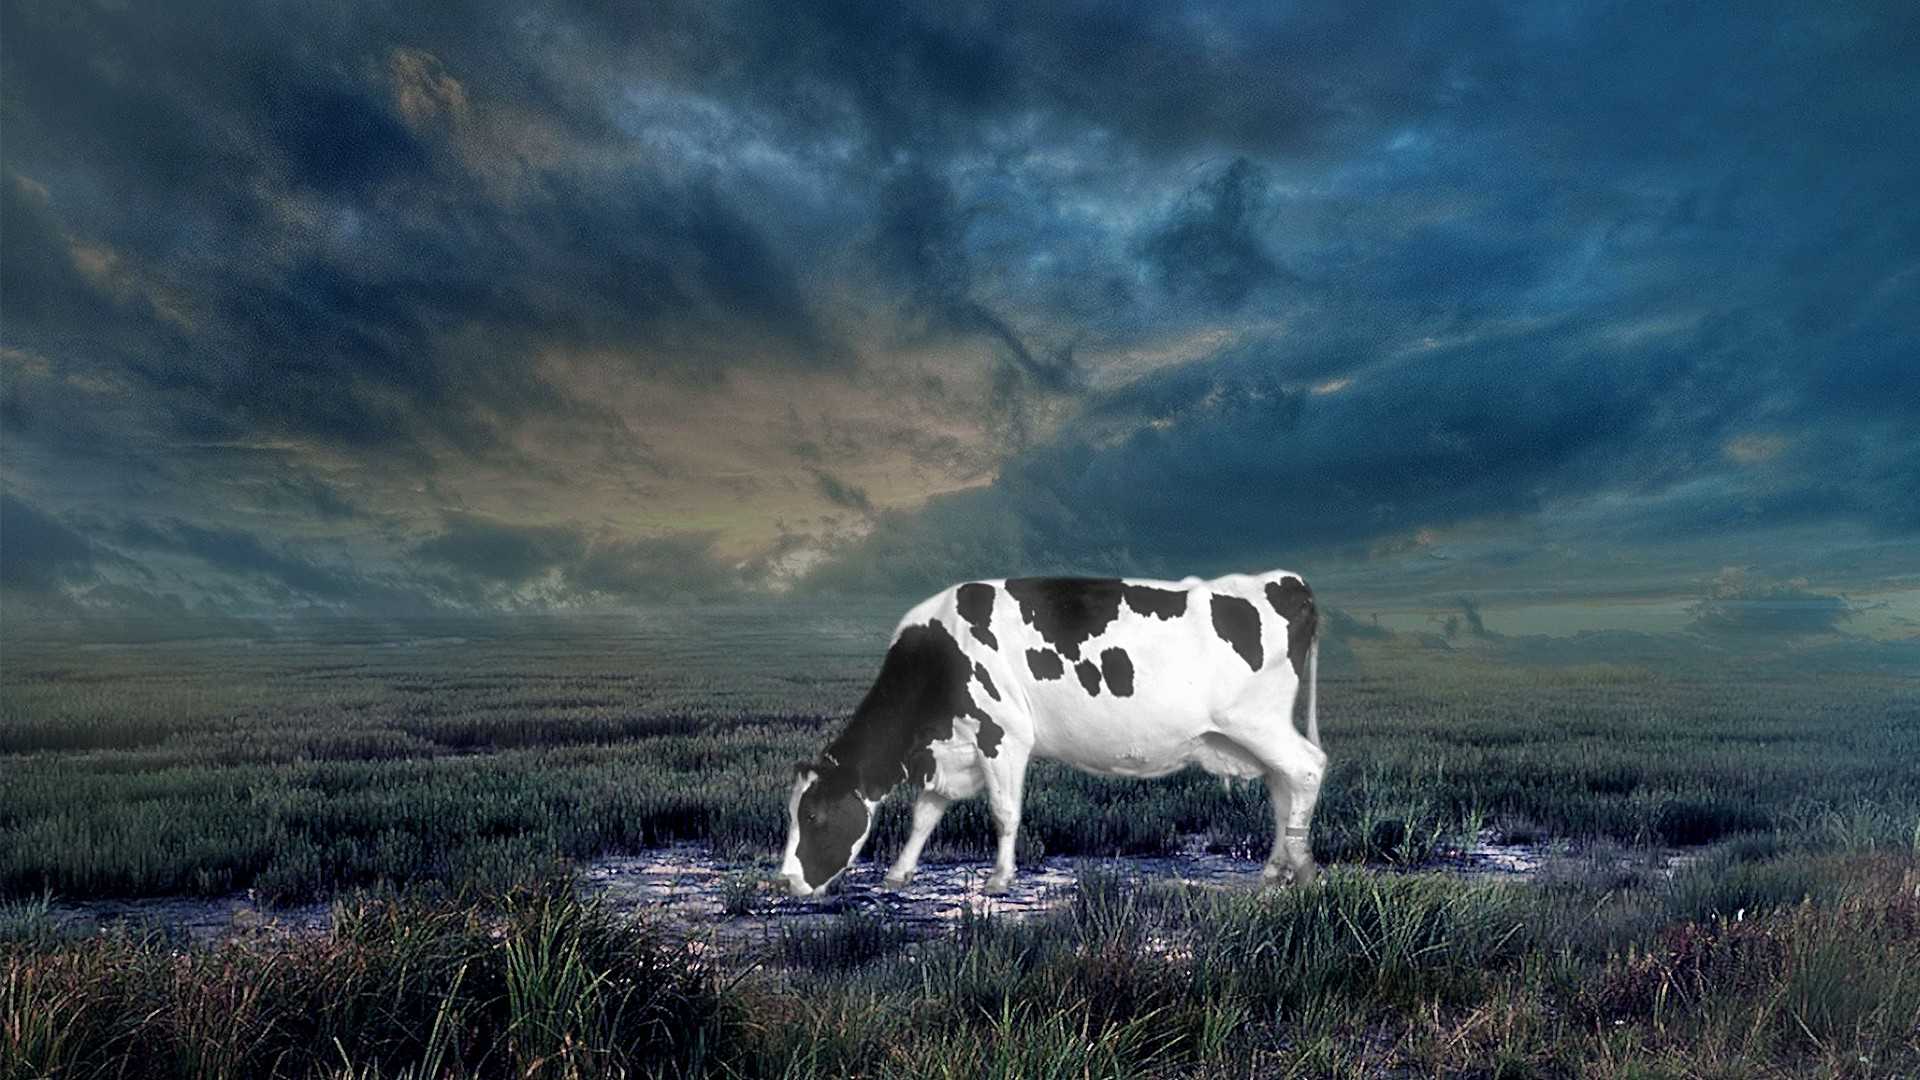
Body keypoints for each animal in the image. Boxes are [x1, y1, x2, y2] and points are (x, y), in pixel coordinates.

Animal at [781, 571, 1324, 898]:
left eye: (815, 815)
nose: (784, 880)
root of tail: (1285, 583)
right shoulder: (952, 752)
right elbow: (925, 814)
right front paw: (900, 871)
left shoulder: (1002, 735)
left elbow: (1004, 813)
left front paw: (999, 878)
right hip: (1252, 733)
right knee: (1282, 786)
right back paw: (1273, 869)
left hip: (1256, 721)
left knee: (1307, 769)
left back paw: (1300, 866)